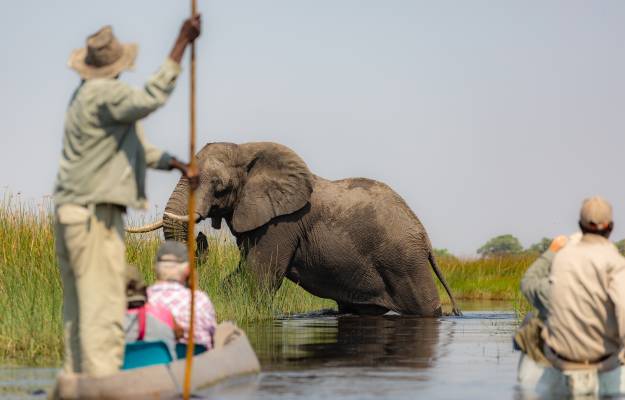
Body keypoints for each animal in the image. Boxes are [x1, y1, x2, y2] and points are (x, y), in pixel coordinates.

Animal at [127, 142, 458, 318]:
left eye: (220, 187)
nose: (201, 235)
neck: (247, 150)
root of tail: (425, 238)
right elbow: (241, 275)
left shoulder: (281, 224)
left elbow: (258, 277)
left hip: (404, 262)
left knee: (425, 308)